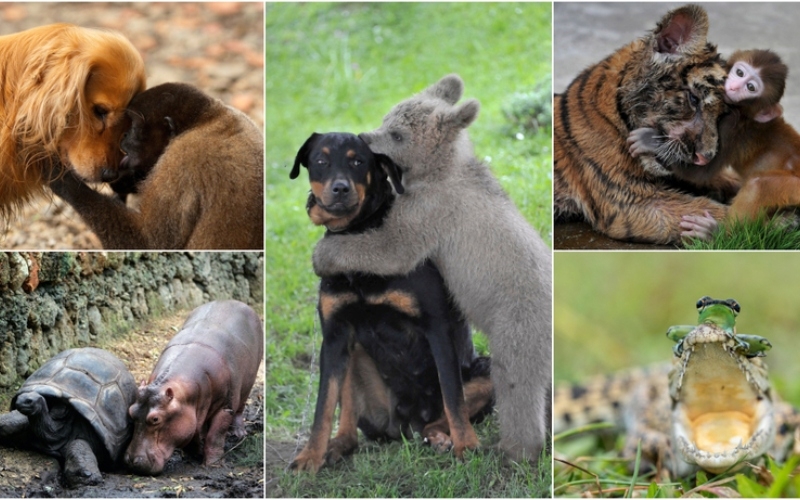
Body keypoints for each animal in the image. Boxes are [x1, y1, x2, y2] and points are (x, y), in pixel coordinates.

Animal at [48, 83, 264, 252]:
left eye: (134, 126)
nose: (124, 136)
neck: (204, 119)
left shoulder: (180, 159)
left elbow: (149, 242)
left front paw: (58, 177)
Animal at [123, 298, 262, 474]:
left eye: (155, 419)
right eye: (131, 411)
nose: (133, 461)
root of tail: (232, 300)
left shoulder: (225, 407)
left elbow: (215, 436)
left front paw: (212, 464)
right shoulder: (189, 412)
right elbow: (191, 434)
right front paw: (195, 454)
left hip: (248, 382)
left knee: (240, 407)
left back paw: (238, 433)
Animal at [290, 130, 494, 472]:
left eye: (358, 161)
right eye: (320, 160)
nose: (340, 188)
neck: (358, 237)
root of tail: (406, 424)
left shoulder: (436, 327)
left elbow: (453, 396)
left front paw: (467, 445)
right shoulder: (334, 336)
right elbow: (323, 406)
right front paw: (309, 457)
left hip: (488, 371)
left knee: (439, 418)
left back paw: (442, 438)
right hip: (356, 359)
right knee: (351, 424)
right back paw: (337, 446)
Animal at [632, 49, 792, 239]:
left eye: (751, 87)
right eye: (740, 72)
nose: (734, 87)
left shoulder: (730, 127)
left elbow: (701, 171)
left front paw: (650, 141)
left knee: (758, 185)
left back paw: (716, 233)